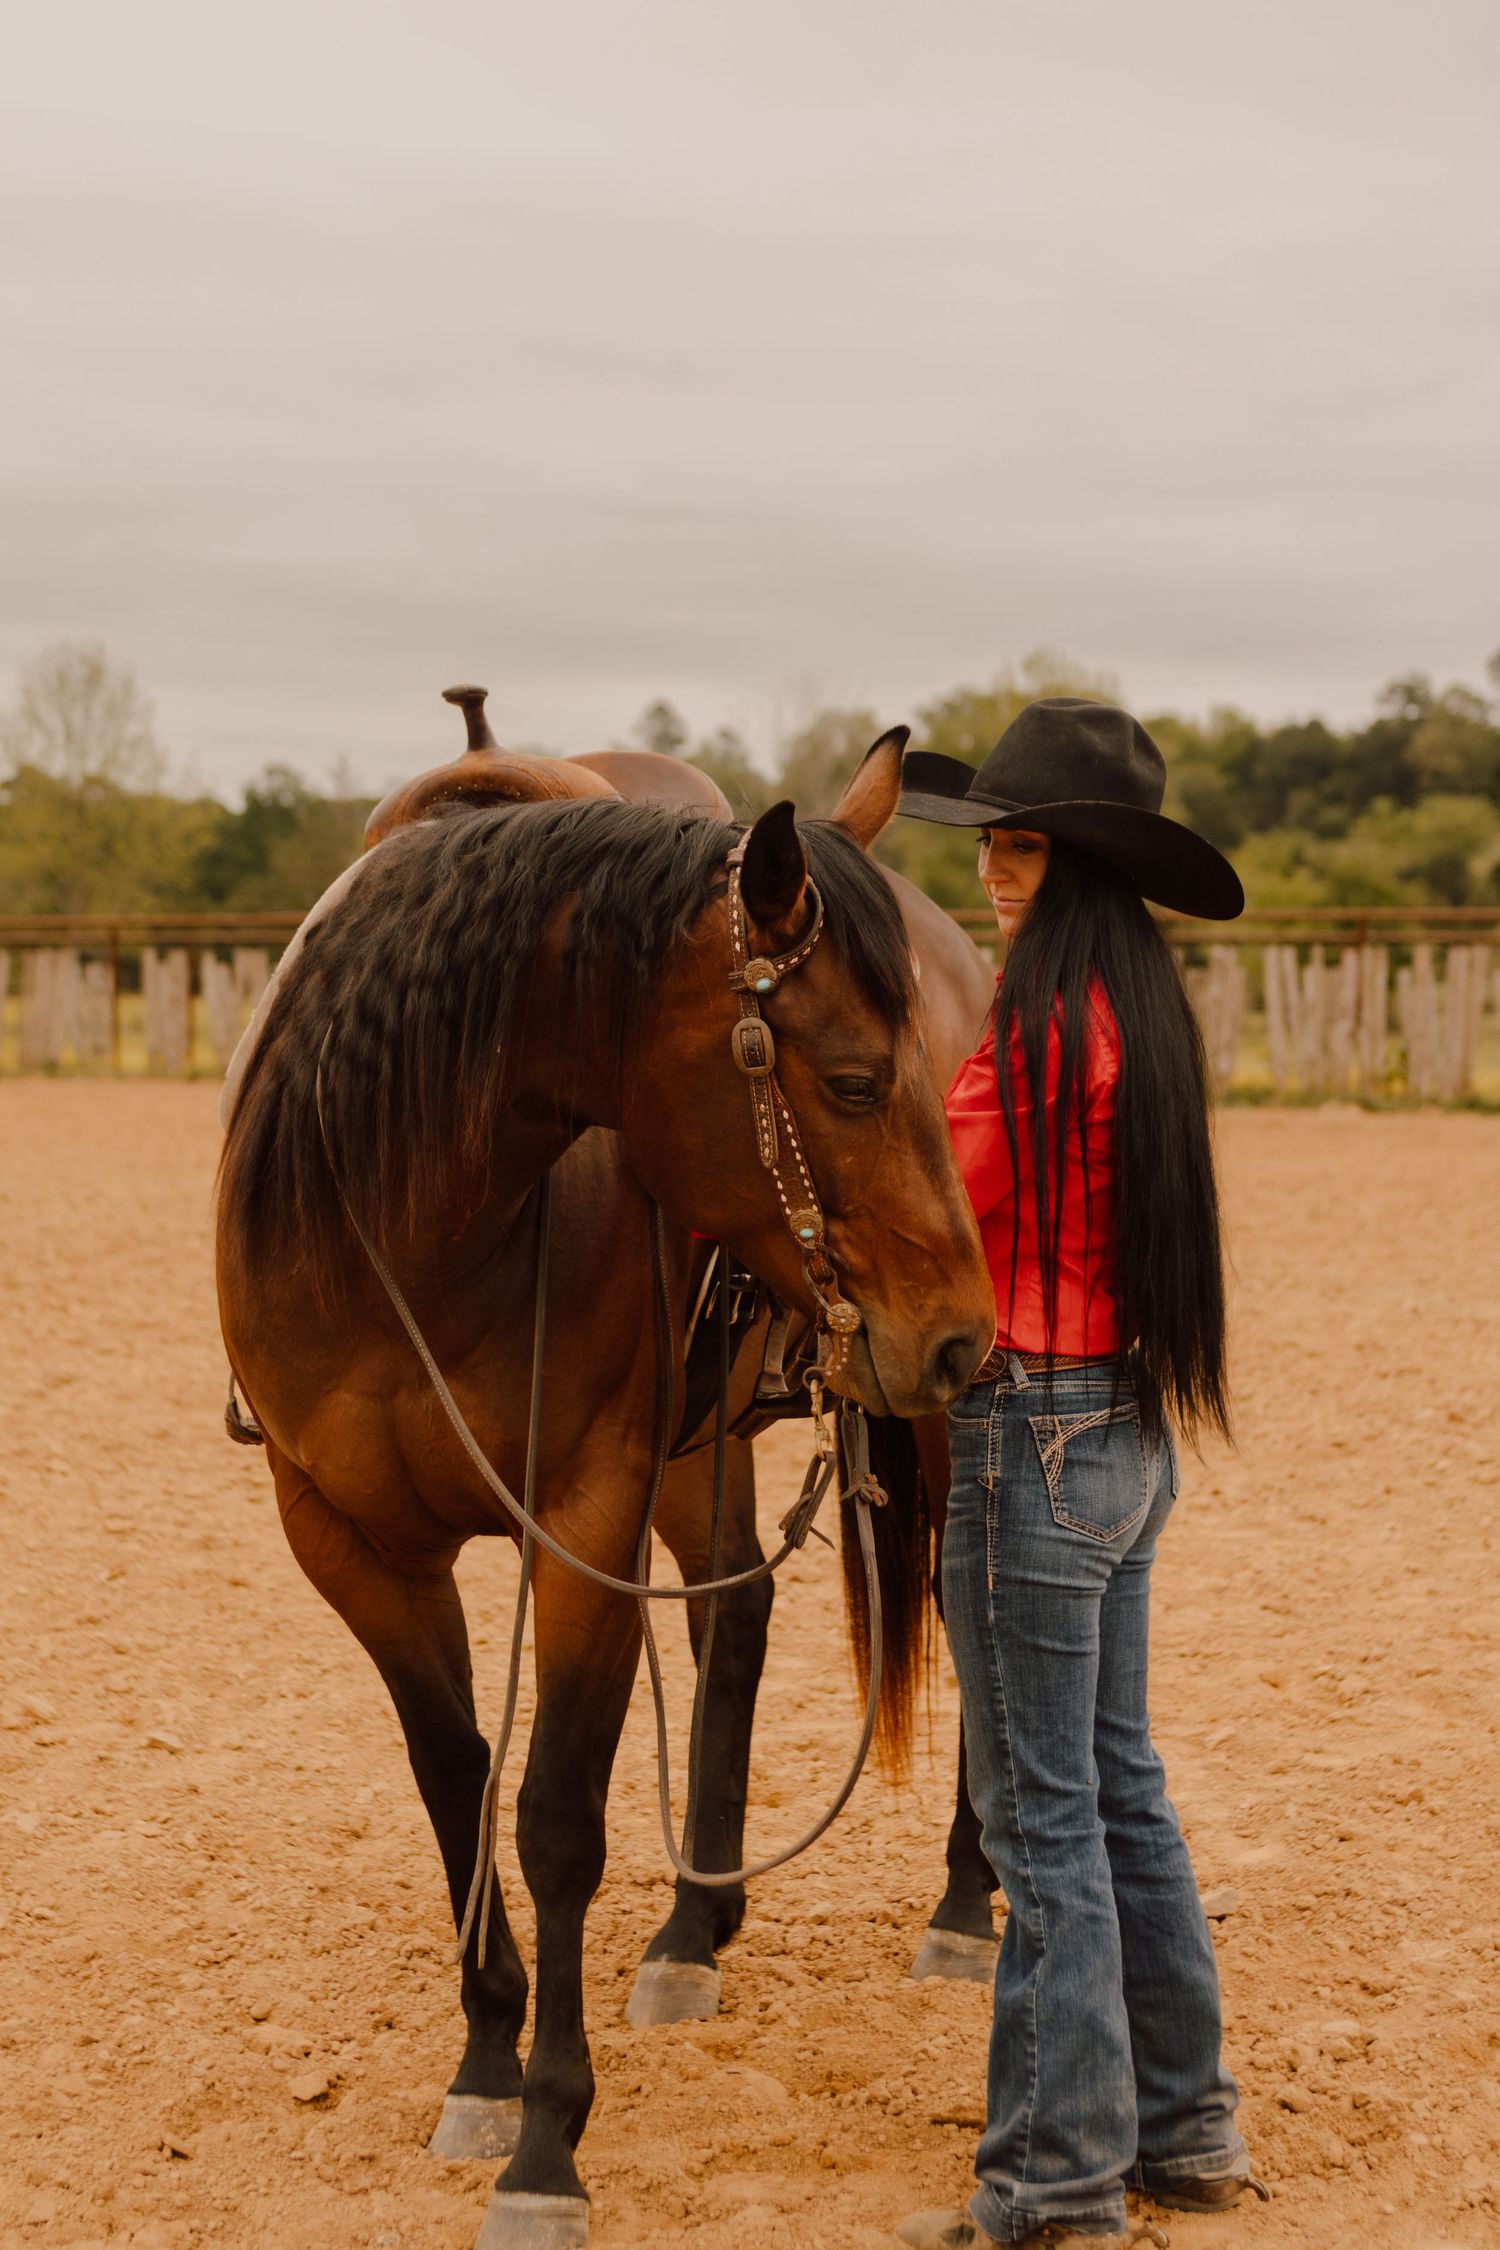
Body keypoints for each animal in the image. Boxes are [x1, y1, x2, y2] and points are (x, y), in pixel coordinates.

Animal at [216, 750, 994, 2248]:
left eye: (920, 1076)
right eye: (854, 1079)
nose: (958, 1332)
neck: (410, 1219)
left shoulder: (583, 1524)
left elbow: (555, 1818)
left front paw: (545, 2143)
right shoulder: (349, 1542)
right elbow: (455, 1787)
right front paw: (481, 2065)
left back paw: (968, 1900)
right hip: (705, 1445)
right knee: (731, 1621)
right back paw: (697, 1928)